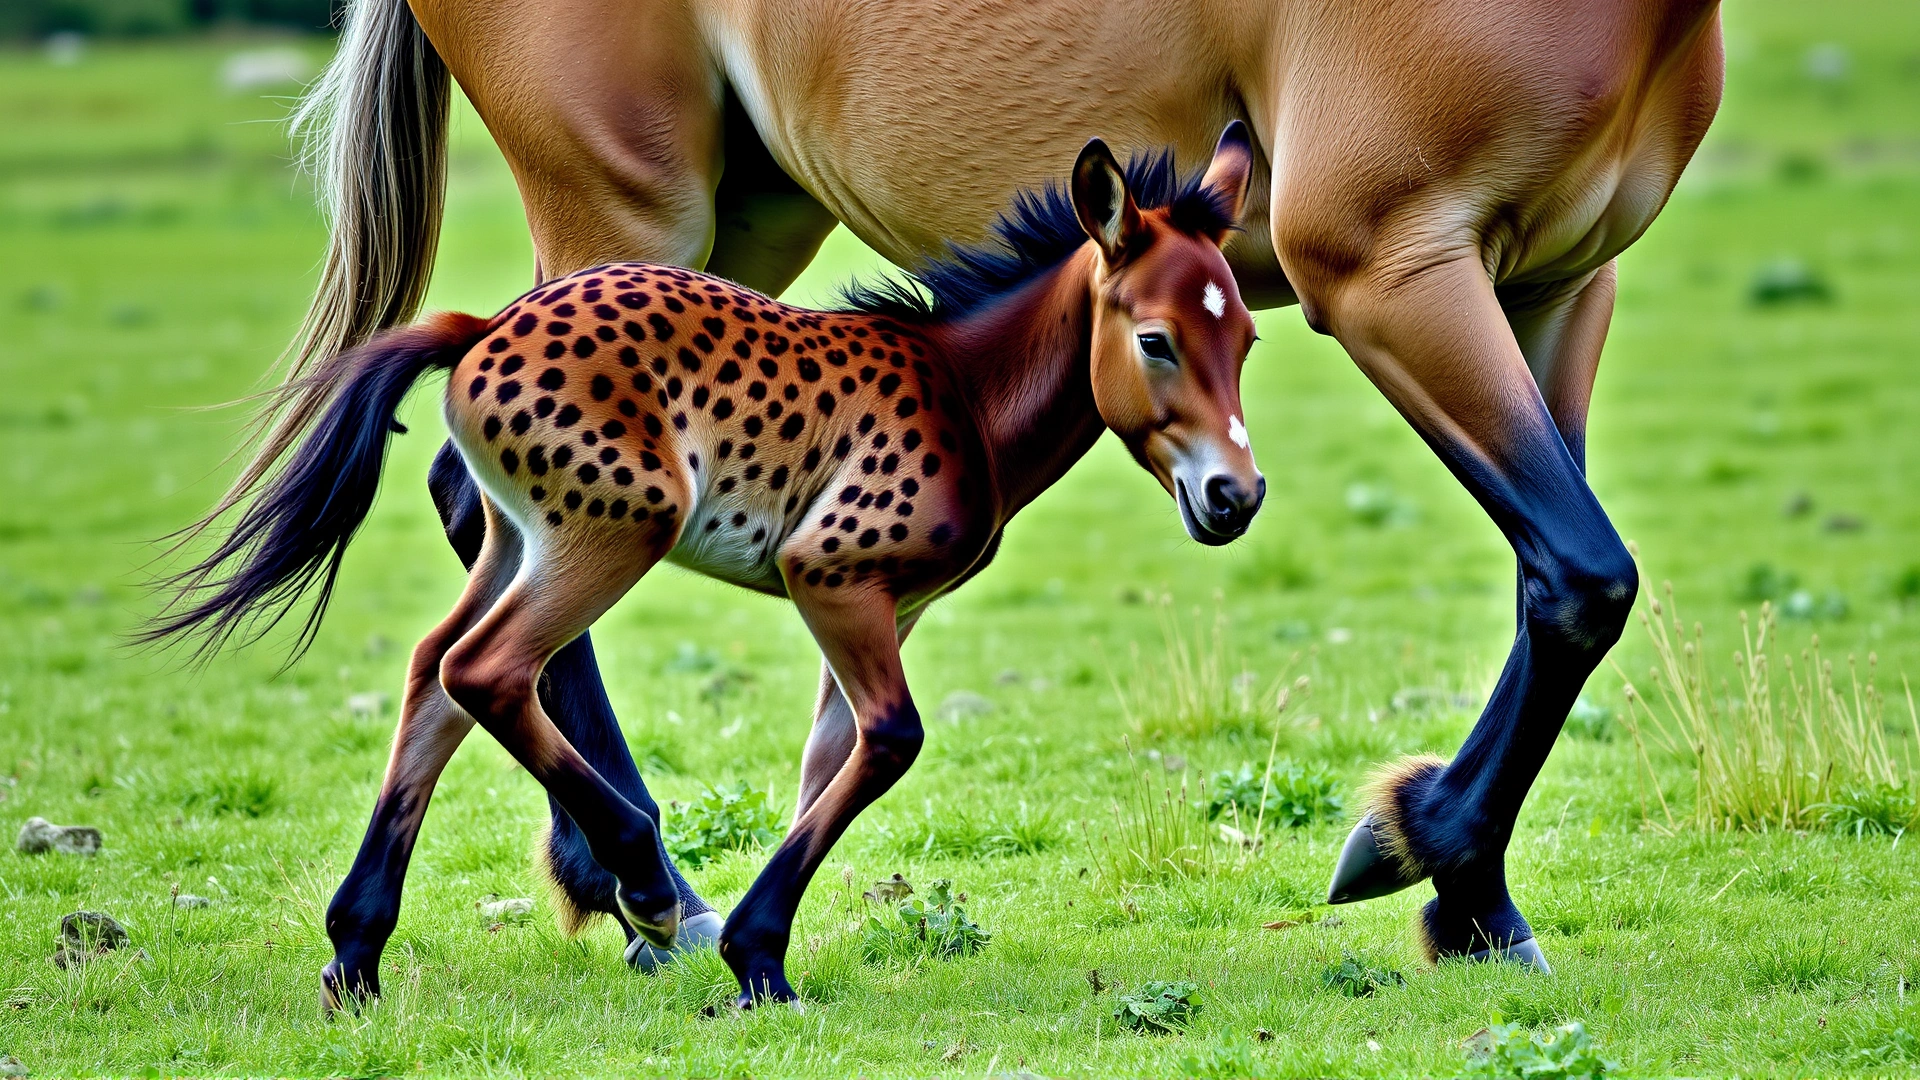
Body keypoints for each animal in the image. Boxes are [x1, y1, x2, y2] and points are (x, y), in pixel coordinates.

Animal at [150, 126, 1263, 1008]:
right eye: (1156, 339)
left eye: (1248, 335)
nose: (1235, 496)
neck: (967, 394)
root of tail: (483, 328)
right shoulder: (833, 579)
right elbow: (890, 741)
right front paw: (753, 955)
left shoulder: (885, 610)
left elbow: (828, 762)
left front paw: (759, 957)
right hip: (615, 532)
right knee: (486, 670)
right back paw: (641, 886)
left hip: (520, 541)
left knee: (434, 673)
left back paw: (357, 952)